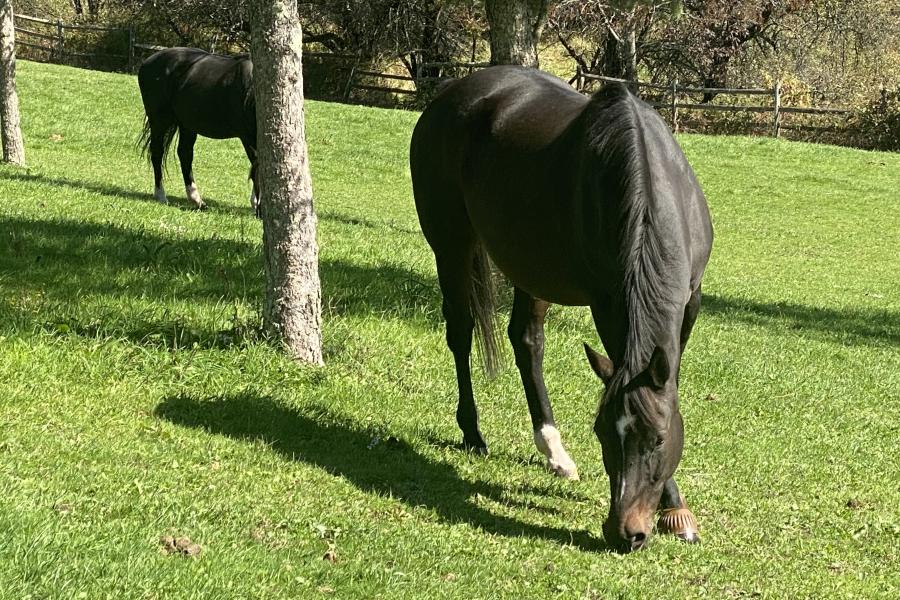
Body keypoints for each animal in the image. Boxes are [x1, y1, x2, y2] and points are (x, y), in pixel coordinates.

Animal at [137, 48, 258, 213]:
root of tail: (148, 61)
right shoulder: (248, 137)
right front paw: (257, 206)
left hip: (186, 125)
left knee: (184, 153)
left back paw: (196, 199)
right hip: (159, 121)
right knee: (157, 153)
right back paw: (161, 195)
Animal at [408, 67, 712, 552]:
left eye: (659, 439)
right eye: (602, 432)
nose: (624, 533)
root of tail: (450, 95)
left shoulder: (690, 300)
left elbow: (669, 386)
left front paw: (676, 511)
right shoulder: (609, 303)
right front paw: (674, 507)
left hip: (531, 266)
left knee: (525, 340)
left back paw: (554, 451)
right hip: (451, 245)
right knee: (461, 332)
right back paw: (473, 433)